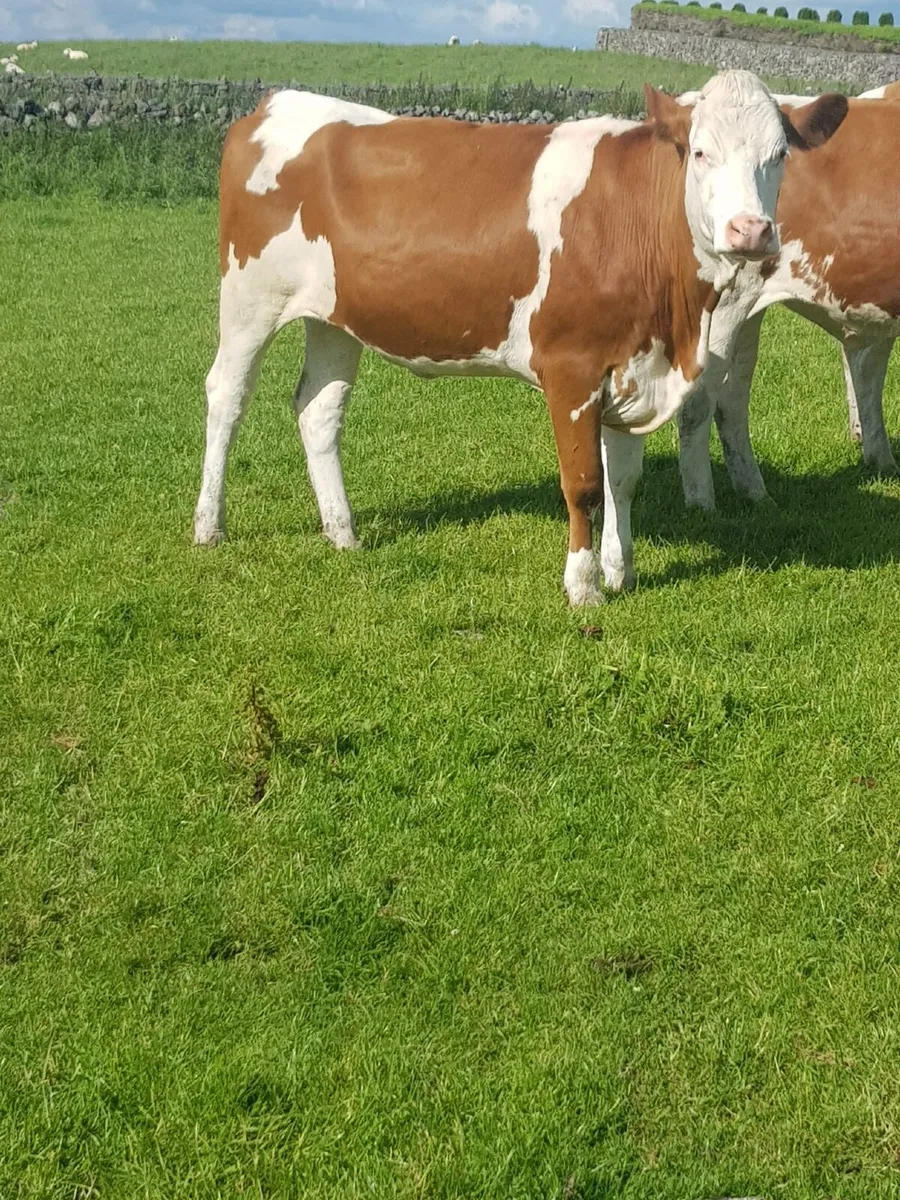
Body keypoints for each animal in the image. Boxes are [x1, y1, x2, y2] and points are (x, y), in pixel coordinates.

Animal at [193, 75, 846, 604]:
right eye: (702, 151)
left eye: (779, 154)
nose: (750, 230)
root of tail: (277, 102)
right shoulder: (572, 369)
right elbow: (584, 485)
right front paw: (583, 587)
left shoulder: (636, 363)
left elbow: (624, 479)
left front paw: (622, 571)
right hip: (249, 298)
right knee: (227, 397)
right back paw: (209, 526)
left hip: (334, 318)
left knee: (319, 410)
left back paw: (342, 532)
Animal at [678, 86, 900, 511]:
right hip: (726, 303)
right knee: (699, 400)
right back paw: (701, 503)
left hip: (747, 310)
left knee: (732, 398)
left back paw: (756, 493)